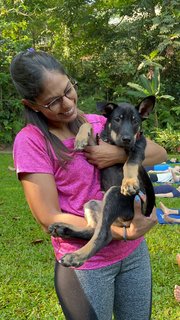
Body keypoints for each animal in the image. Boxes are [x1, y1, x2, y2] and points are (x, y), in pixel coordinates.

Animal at [48, 95, 155, 268]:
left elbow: (130, 163)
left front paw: (129, 182)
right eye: (117, 119)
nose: (127, 139)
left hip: (113, 194)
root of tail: (123, 222)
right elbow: (87, 124)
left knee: (104, 235)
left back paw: (75, 256)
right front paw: (80, 139)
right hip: (93, 204)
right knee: (94, 230)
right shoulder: (96, 147)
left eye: (135, 121)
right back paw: (63, 229)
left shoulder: (139, 147)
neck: (113, 142)